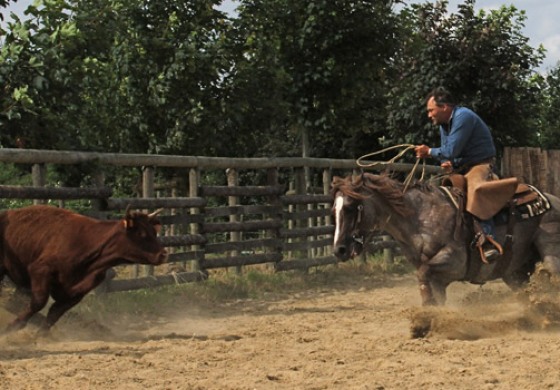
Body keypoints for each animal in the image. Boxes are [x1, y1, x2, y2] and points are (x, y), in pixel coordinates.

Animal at [0, 203, 167, 334]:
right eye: (141, 233)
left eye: (154, 232)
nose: (163, 254)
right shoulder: (40, 270)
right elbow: (38, 303)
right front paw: (12, 327)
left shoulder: (78, 292)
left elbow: (54, 314)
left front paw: (40, 335)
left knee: (13, 303)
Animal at [332, 173, 560, 304]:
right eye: (334, 209)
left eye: (351, 207)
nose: (339, 250)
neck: (420, 217)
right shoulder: (439, 278)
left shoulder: (455, 261)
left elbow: (424, 273)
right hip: (514, 271)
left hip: (551, 254)